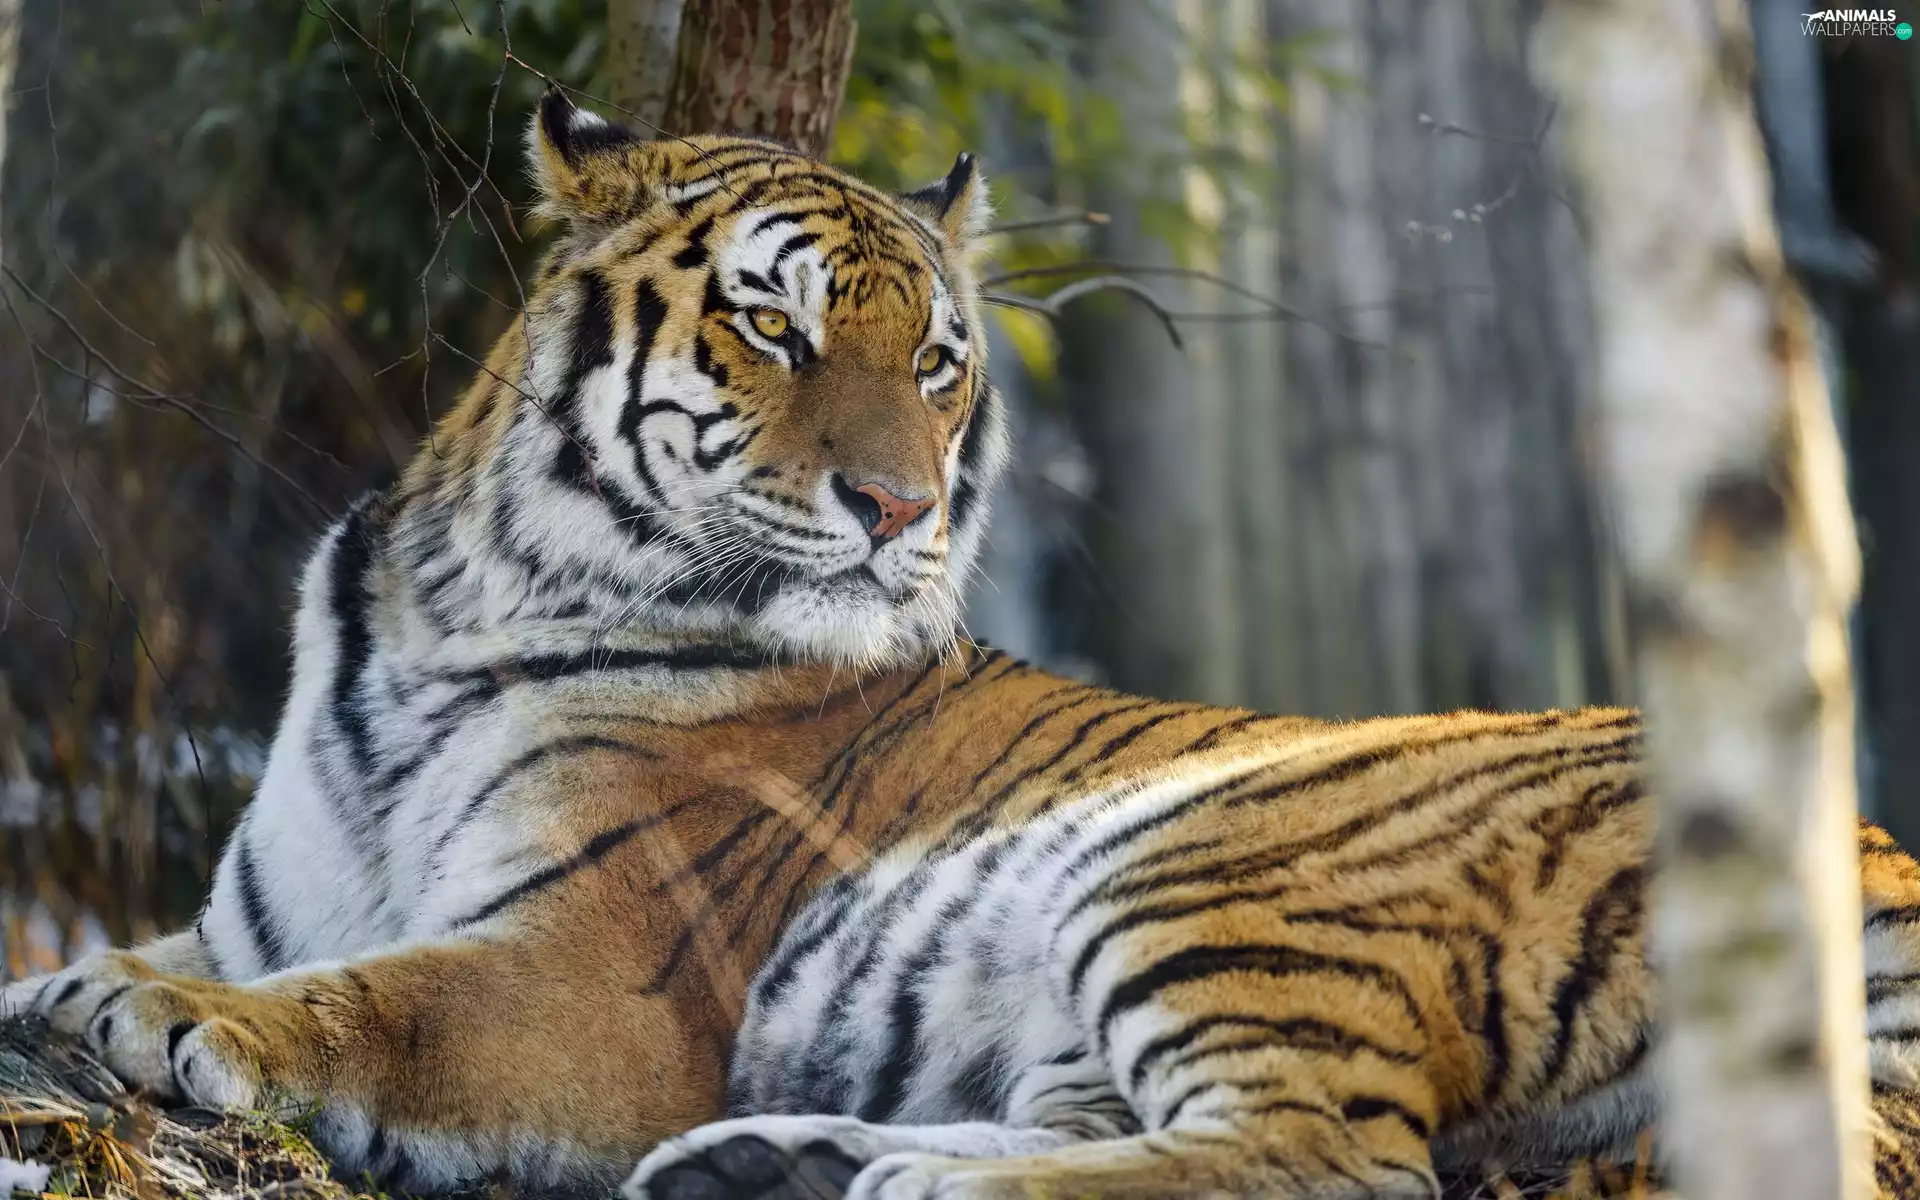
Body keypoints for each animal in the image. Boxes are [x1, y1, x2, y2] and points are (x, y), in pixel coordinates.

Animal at [3, 88, 1920, 1199]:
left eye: (935, 363)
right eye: (773, 328)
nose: (901, 509)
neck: (464, 604)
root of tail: (1869, 846)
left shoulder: (595, 978)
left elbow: (380, 999)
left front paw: (156, 1011)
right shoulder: (270, 893)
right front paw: (66, 981)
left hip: (1223, 859)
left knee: (1334, 1158)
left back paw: (915, 1183)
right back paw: (778, 1166)